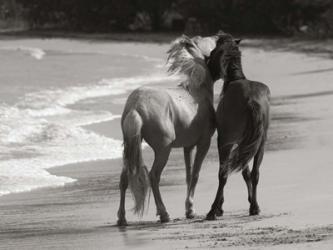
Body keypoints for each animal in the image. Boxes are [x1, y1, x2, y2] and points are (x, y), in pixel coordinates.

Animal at [205, 31, 270, 221]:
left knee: (223, 174)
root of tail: (251, 100)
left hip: (226, 142)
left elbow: (227, 173)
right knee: (255, 173)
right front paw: (251, 201)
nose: (207, 65)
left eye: (212, 52)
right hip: (259, 143)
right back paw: (255, 207)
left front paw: (219, 208)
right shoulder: (244, 143)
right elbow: (246, 172)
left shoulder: (227, 141)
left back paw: (212, 211)